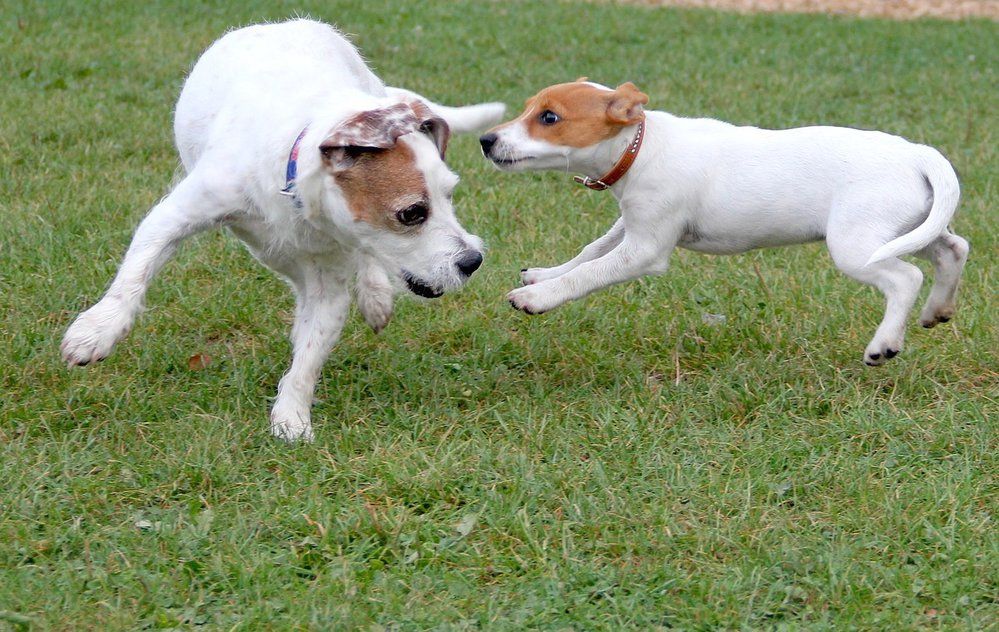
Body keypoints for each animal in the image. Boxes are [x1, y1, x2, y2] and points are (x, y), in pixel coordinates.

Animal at [60, 21, 508, 444]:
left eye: (449, 195)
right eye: (412, 213)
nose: (473, 261)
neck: (294, 183)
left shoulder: (329, 288)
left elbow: (308, 358)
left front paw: (291, 416)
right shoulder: (175, 215)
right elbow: (134, 275)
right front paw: (97, 331)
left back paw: (375, 294)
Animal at [482, 79, 968, 366]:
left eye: (550, 118)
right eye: (529, 109)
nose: (486, 140)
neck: (641, 144)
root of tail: (918, 154)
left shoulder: (645, 250)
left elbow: (589, 273)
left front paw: (537, 297)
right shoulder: (633, 225)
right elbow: (590, 251)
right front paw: (543, 274)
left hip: (857, 244)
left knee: (906, 278)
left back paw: (884, 344)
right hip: (911, 228)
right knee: (953, 250)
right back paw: (937, 310)